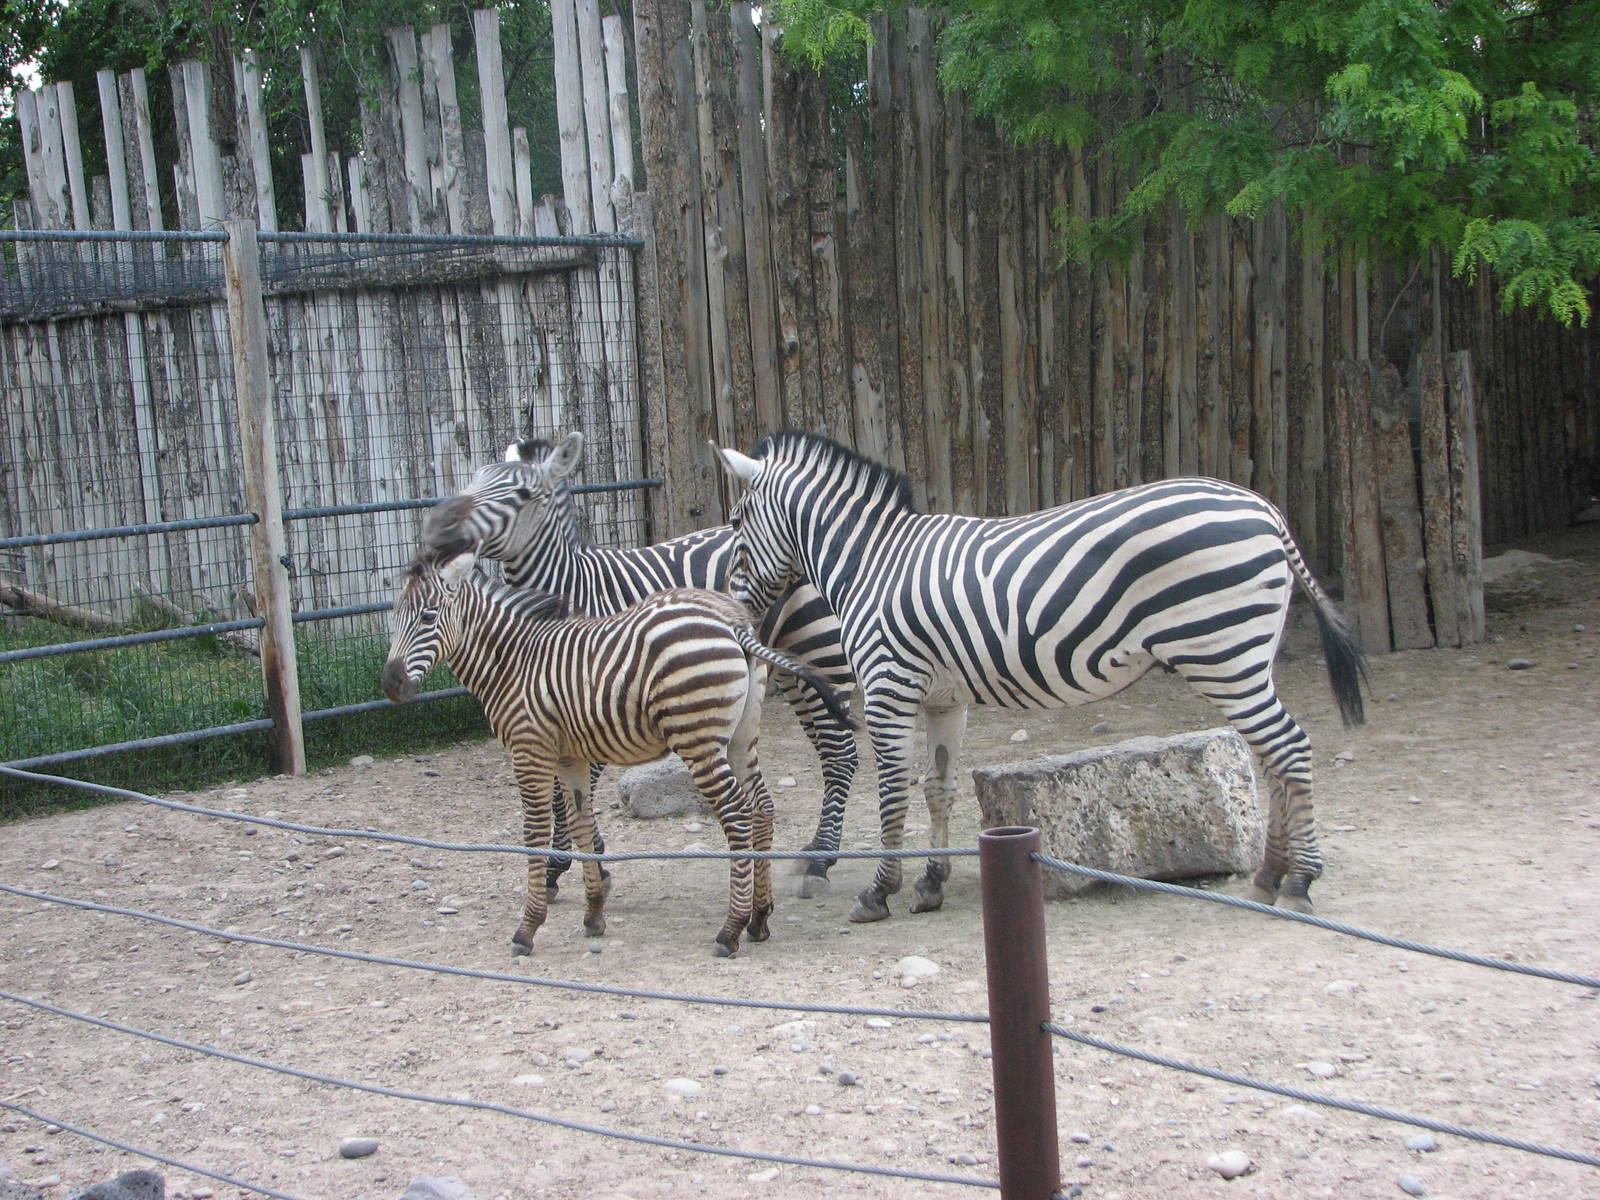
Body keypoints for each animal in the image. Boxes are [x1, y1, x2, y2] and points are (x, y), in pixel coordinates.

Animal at [381, 547, 855, 956]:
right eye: (392, 616)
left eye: (427, 617)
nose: (392, 686)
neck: (513, 660)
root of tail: (733, 623)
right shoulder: (570, 756)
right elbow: (580, 825)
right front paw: (594, 912)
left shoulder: (530, 749)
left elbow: (535, 833)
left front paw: (528, 927)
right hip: (741, 737)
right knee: (762, 809)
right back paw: (759, 917)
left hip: (697, 738)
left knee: (738, 814)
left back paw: (731, 929)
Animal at [422, 431, 859, 898]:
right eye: (474, 479)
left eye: (520, 495)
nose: (437, 529)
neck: (570, 589)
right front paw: (585, 857)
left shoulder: (590, 696)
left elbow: (568, 791)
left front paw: (566, 862)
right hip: (793, 667)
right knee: (832, 752)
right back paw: (814, 849)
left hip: (819, 648)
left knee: (841, 754)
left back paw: (821, 861)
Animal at [713, 430, 1367, 923]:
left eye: (738, 520)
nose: (736, 607)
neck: (871, 561)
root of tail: (1263, 506)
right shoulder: (943, 698)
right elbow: (938, 788)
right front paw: (930, 882)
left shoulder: (887, 685)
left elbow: (894, 789)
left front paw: (879, 891)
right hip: (1243, 658)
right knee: (1274, 756)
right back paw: (1270, 875)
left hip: (1223, 653)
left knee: (1291, 748)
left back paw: (1300, 882)